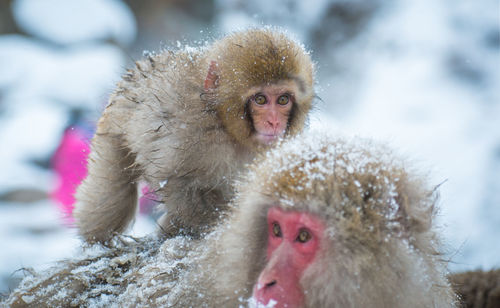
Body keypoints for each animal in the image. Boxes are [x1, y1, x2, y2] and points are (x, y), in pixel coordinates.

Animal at [73, 27, 316, 242]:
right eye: (261, 99)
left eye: (283, 100)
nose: (274, 122)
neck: (224, 123)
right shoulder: (193, 137)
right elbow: (179, 183)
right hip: (113, 129)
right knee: (112, 192)